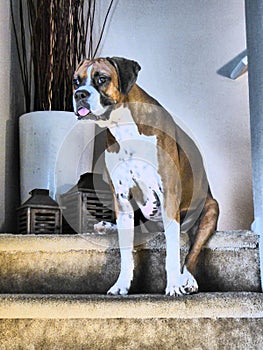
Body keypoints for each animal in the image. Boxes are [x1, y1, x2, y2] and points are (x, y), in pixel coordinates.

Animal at [73, 56, 220, 296]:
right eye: (76, 81)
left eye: (101, 79)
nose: (80, 94)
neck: (123, 127)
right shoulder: (122, 198)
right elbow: (125, 252)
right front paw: (122, 284)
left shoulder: (169, 193)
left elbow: (173, 253)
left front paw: (173, 286)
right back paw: (105, 226)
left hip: (210, 209)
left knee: (192, 251)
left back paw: (188, 280)